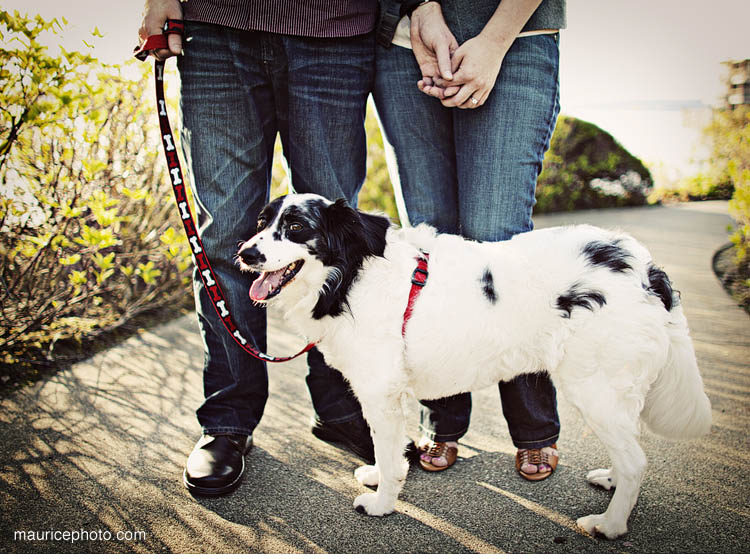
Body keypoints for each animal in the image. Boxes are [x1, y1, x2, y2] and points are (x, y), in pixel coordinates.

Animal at [238, 195, 712, 540]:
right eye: (262, 222)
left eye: (296, 228)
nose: (245, 252)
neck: (350, 275)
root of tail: (645, 268)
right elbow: (385, 451)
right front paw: (376, 476)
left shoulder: (380, 392)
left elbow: (389, 454)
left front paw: (382, 503)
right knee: (630, 452)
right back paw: (612, 482)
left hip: (593, 389)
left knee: (636, 461)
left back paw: (611, 525)